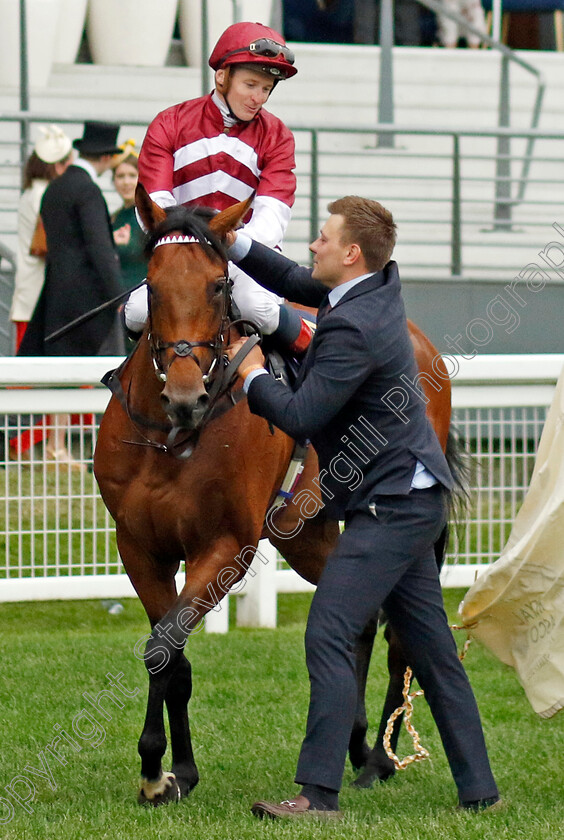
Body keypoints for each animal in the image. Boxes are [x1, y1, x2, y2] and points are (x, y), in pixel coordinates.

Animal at [92, 185, 454, 808]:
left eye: (219, 284)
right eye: (153, 286)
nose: (186, 396)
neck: (172, 438)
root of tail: (422, 344)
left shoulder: (226, 548)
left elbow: (164, 644)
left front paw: (154, 769)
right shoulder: (139, 546)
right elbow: (171, 655)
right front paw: (177, 772)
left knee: (398, 628)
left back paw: (380, 757)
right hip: (305, 532)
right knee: (362, 619)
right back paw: (357, 745)